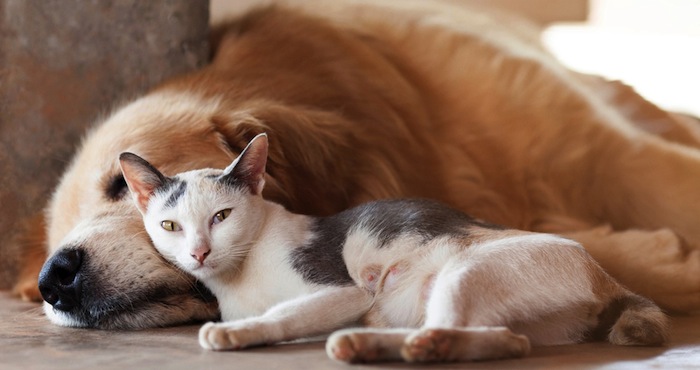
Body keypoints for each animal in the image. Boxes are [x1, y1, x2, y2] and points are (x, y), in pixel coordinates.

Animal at [119, 134, 668, 364]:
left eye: (221, 217)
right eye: (170, 225)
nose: (199, 253)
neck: (237, 278)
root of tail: (605, 276)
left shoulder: (343, 290)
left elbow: (286, 314)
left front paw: (239, 333)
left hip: (464, 271)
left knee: (482, 337)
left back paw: (399, 347)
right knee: (503, 338)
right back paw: (366, 344)